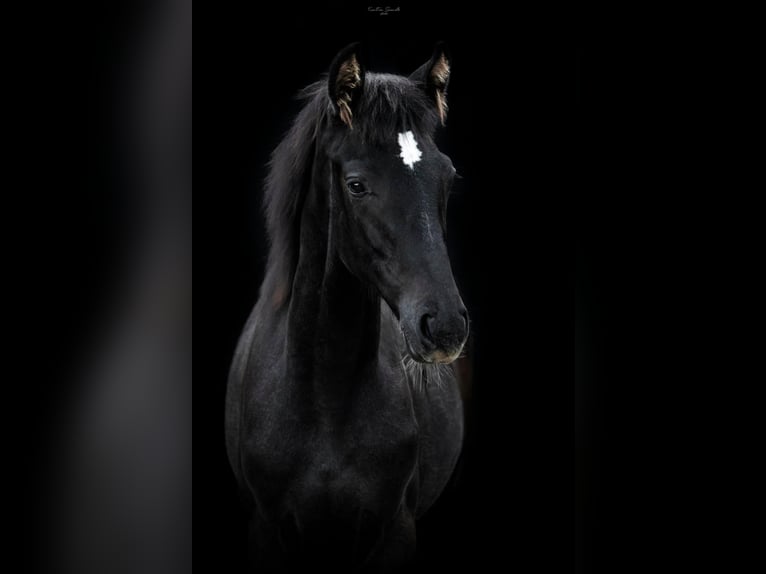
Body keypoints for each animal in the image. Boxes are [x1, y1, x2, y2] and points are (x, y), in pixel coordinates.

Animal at [225, 42, 472, 572]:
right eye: (356, 185)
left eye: (447, 178)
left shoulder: (394, 533)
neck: (324, 400)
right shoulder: (267, 533)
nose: (444, 325)